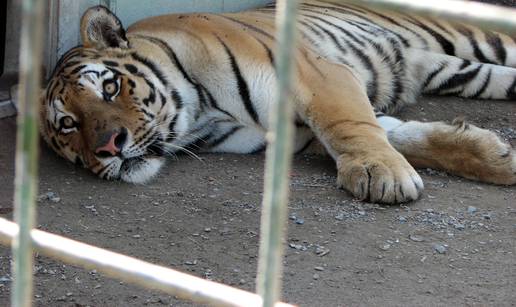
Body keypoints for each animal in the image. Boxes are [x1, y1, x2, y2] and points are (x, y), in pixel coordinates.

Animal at [40, 1, 516, 205]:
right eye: (69, 125)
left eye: (109, 88)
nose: (109, 146)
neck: (199, 112)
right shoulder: (297, 131)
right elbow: (401, 136)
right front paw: (497, 158)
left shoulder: (320, 77)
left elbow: (351, 127)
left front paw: (382, 177)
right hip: (460, 69)